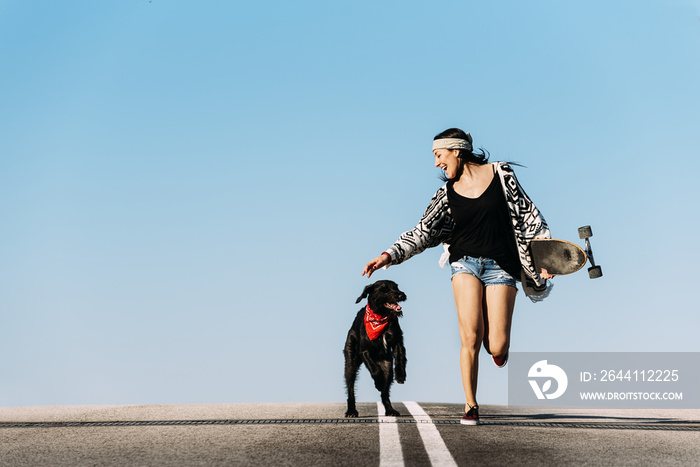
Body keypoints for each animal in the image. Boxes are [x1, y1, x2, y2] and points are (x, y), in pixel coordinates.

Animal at [344, 280, 408, 418]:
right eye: (384, 289)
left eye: (396, 287)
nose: (401, 295)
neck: (380, 317)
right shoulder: (364, 350)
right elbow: (373, 367)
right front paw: (378, 382)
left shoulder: (397, 342)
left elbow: (400, 357)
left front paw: (400, 375)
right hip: (350, 363)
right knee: (350, 388)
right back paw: (351, 411)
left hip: (387, 367)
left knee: (385, 392)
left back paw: (390, 409)